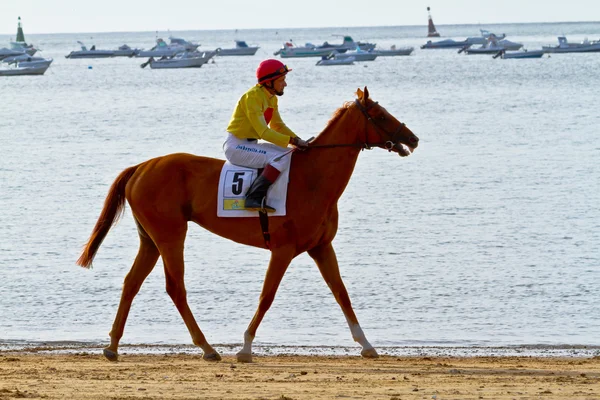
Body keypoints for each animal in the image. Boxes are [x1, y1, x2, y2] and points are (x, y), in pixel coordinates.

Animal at [77, 86, 420, 362]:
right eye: (381, 115)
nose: (413, 138)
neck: (313, 179)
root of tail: (141, 167)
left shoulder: (322, 247)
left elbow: (342, 293)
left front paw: (366, 344)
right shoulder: (282, 250)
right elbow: (267, 296)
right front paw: (244, 348)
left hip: (149, 239)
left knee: (131, 283)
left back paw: (113, 346)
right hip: (170, 235)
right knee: (175, 287)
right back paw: (207, 348)